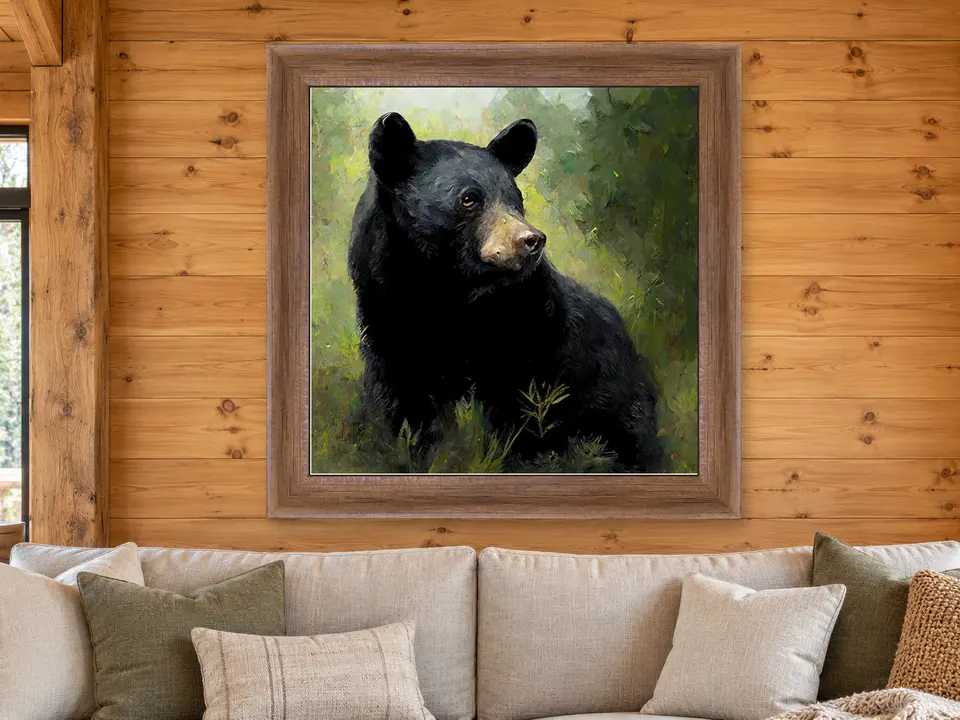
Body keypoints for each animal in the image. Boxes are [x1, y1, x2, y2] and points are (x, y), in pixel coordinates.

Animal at [347, 111, 662, 472]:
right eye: (469, 198)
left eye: (516, 199)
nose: (532, 240)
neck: (445, 293)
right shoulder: (386, 320)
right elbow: (400, 402)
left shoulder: (528, 333)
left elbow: (520, 410)